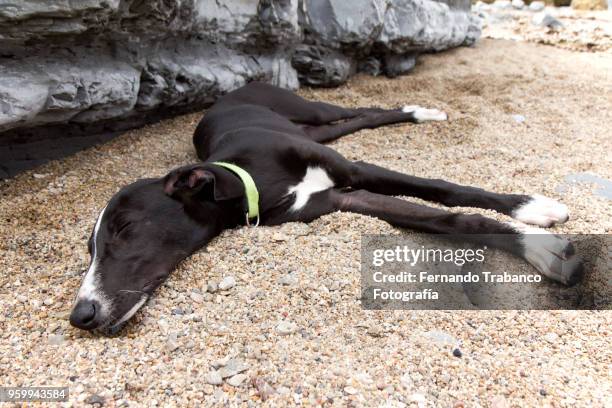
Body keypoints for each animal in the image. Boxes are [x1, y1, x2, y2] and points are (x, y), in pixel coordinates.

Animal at [69, 82, 580, 334]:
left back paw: (420, 113)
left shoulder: (354, 168)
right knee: (358, 120)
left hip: (311, 112)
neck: (253, 177)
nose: (81, 315)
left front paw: (531, 212)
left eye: (124, 228)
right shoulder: (343, 197)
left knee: (365, 112)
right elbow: (445, 217)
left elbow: (443, 189)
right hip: (318, 129)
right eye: (89, 251)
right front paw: (540, 246)